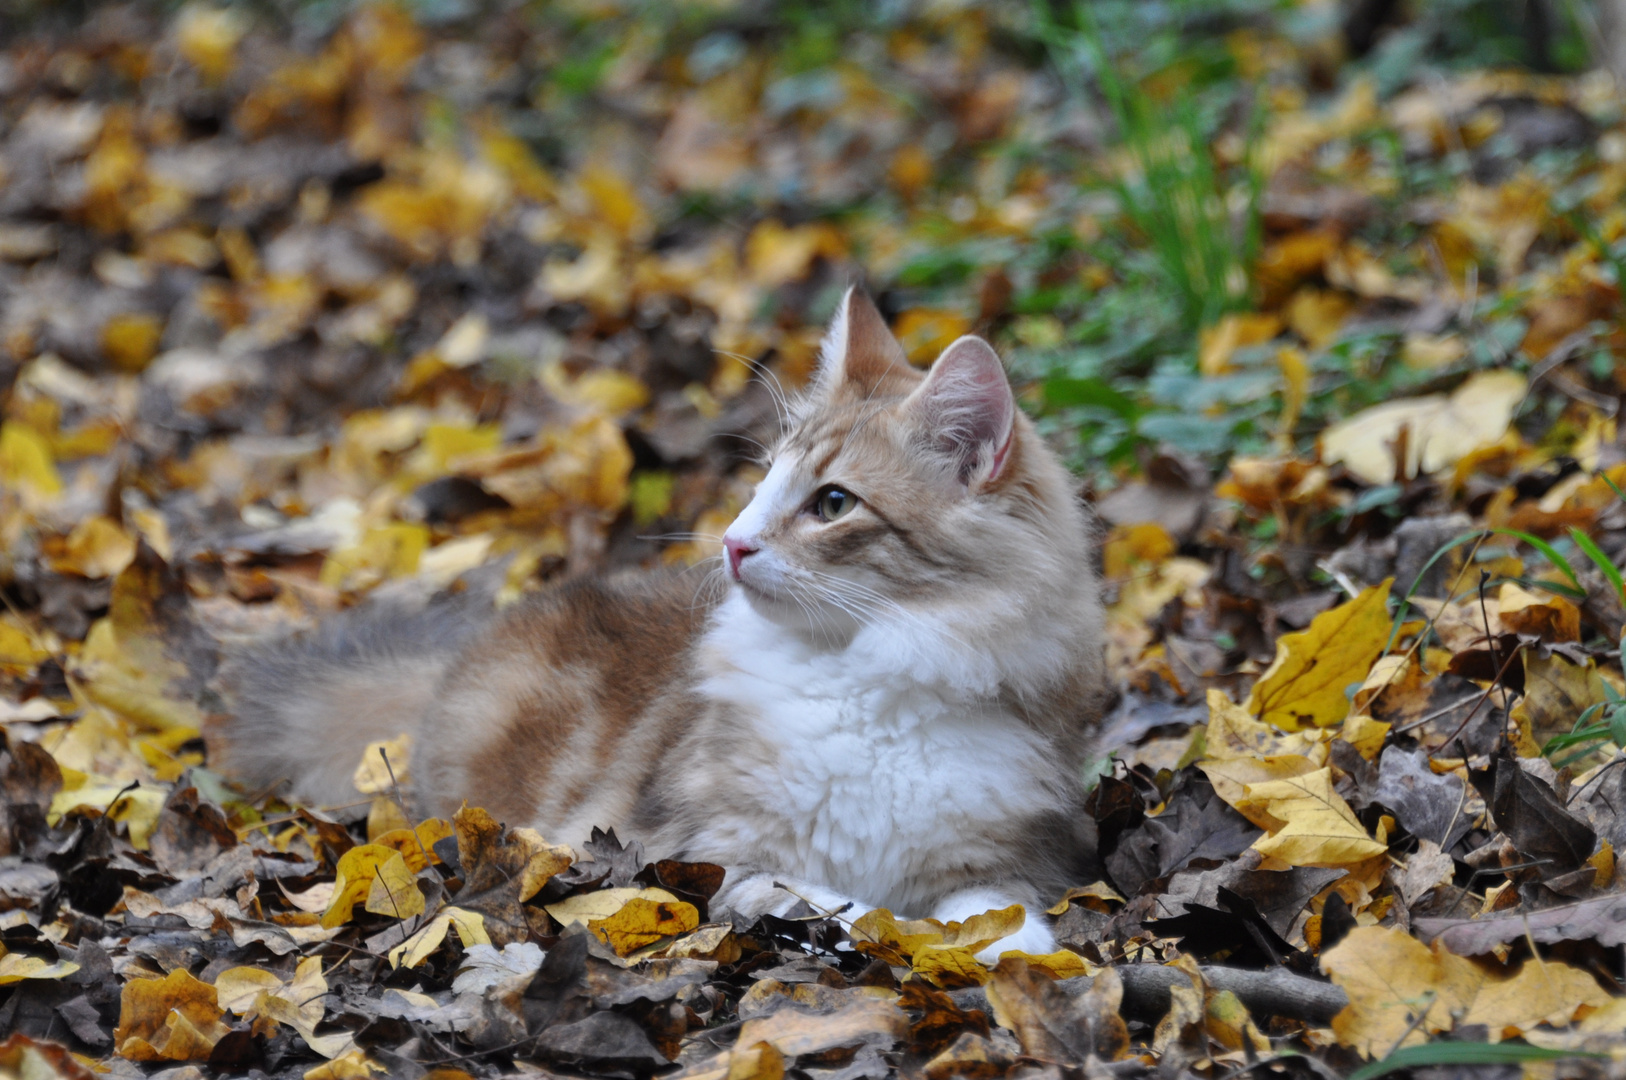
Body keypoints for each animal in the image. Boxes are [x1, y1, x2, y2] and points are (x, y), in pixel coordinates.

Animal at [213, 286, 1105, 956]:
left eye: (833, 503)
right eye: (763, 479)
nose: (733, 542)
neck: (867, 683)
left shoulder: (1007, 854)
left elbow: (997, 914)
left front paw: (1001, 950)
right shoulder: (697, 855)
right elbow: (841, 905)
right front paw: (900, 930)